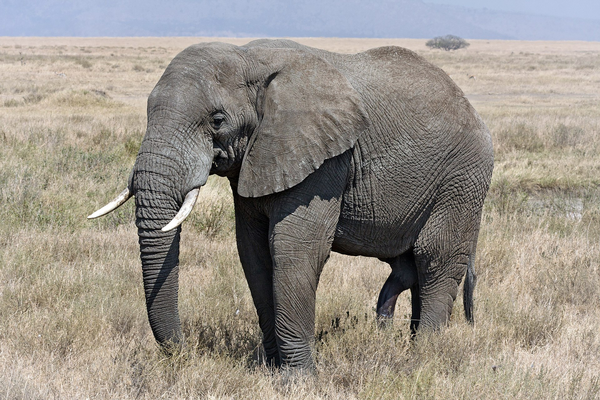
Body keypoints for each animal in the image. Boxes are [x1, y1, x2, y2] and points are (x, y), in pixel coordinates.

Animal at [88, 39, 492, 370]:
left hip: (462, 179)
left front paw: (297, 379)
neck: (249, 58)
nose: (184, 353)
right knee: (410, 266)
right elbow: (253, 252)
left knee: (435, 259)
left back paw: (422, 359)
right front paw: (269, 369)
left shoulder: (325, 159)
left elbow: (294, 249)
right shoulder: (258, 159)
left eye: (217, 120)